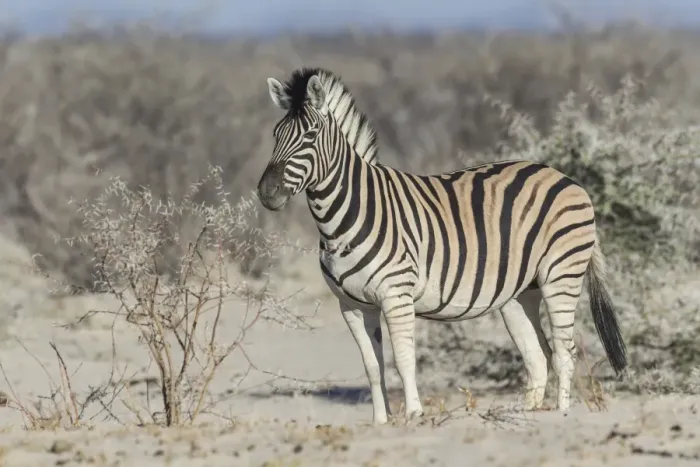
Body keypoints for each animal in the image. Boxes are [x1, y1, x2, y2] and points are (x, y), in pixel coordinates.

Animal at [256, 67, 627, 425]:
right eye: (274, 135)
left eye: (309, 136)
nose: (266, 192)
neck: (345, 217)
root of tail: (565, 178)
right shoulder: (352, 306)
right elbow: (373, 367)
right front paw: (381, 422)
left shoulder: (396, 294)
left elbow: (404, 360)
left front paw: (414, 416)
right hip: (521, 293)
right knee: (538, 356)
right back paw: (528, 416)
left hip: (561, 275)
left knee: (565, 353)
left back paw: (562, 415)